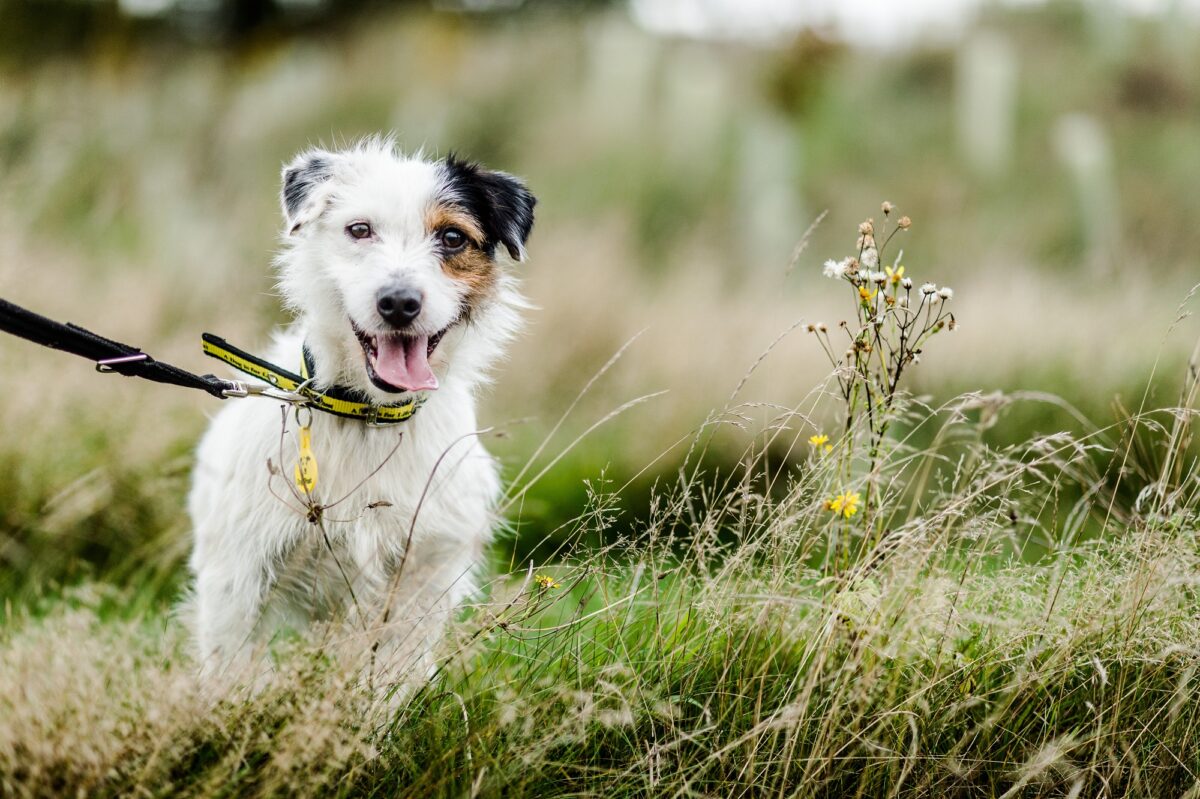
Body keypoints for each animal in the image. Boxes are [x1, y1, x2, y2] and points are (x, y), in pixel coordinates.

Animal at [186, 139, 535, 695]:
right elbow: (231, 670)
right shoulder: (237, 578)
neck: (367, 416)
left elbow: (391, 675)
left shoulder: (422, 574)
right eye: (359, 230)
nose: (399, 302)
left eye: (452, 237)